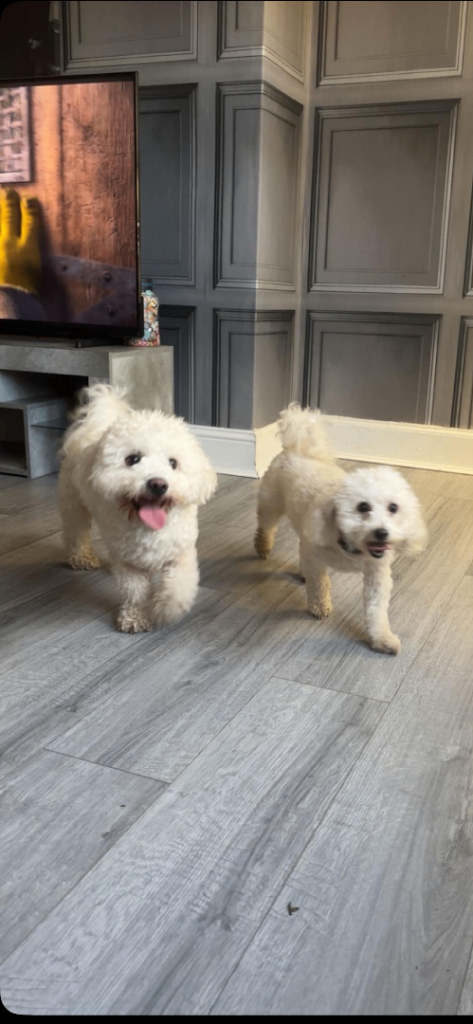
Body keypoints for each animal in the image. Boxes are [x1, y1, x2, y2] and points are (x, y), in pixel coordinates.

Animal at [59, 385, 217, 633]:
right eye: (133, 459)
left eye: (173, 463)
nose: (158, 484)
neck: (148, 529)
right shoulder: (128, 562)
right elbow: (134, 592)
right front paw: (135, 617)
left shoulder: (181, 553)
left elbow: (179, 585)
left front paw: (166, 608)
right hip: (74, 503)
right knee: (75, 532)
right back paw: (81, 558)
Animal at [254, 404, 427, 655]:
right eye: (362, 507)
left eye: (394, 508)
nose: (381, 533)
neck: (352, 548)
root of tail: (298, 447)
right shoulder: (317, 556)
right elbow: (320, 584)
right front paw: (320, 606)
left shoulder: (377, 576)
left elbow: (376, 610)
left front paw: (382, 639)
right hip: (272, 501)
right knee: (266, 524)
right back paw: (262, 546)